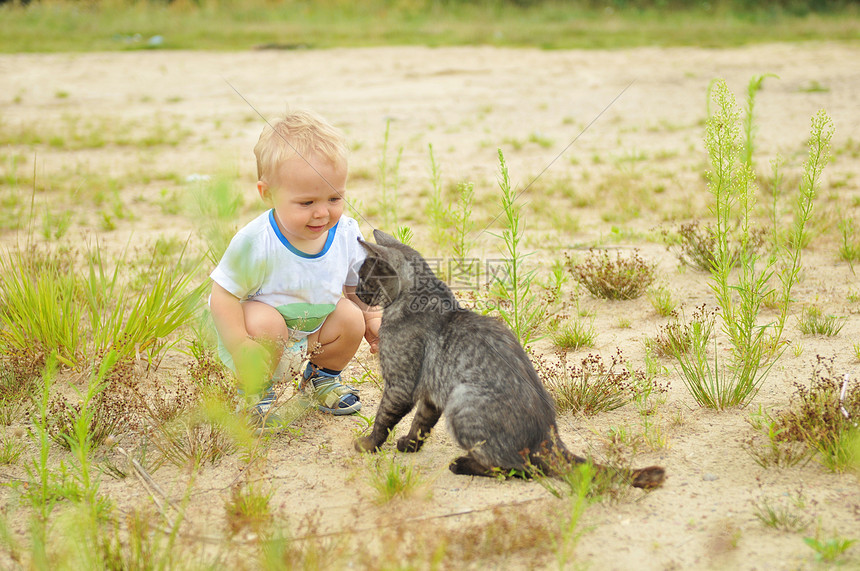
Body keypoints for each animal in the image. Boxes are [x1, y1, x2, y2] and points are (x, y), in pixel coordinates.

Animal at [354, 230, 664, 490]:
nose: (356, 293)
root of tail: (549, 438)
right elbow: (421, 423)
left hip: (462, 401)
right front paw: (409, 444)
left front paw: (368, 444)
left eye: (364, 279)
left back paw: (463, 464)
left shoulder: (400, 385)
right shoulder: (431, 393)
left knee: (522, 469)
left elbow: (384, 418)